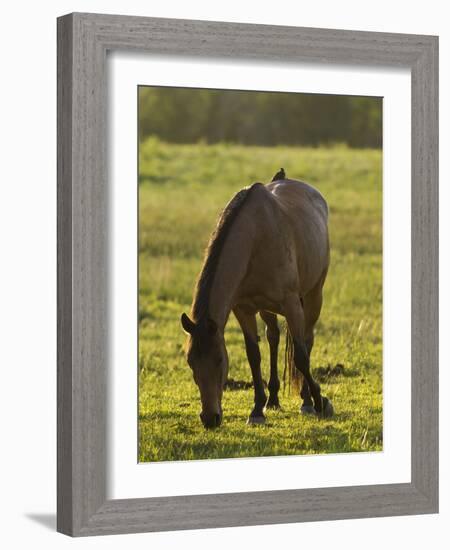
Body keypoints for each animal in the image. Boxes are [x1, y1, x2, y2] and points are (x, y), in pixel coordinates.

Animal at [181, 170, 332, 430]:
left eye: (219, 360)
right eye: (191, 362)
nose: (210, 418)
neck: (255, 239)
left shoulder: (292, 305)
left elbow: (301, 357)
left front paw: (320, 401)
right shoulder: (244, 309)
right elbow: (254, 356)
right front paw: (257, 409)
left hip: (314, 295)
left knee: (307, 340)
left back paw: (306, 401)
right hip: (266, 309)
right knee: (273, 337)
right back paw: (273, 399)